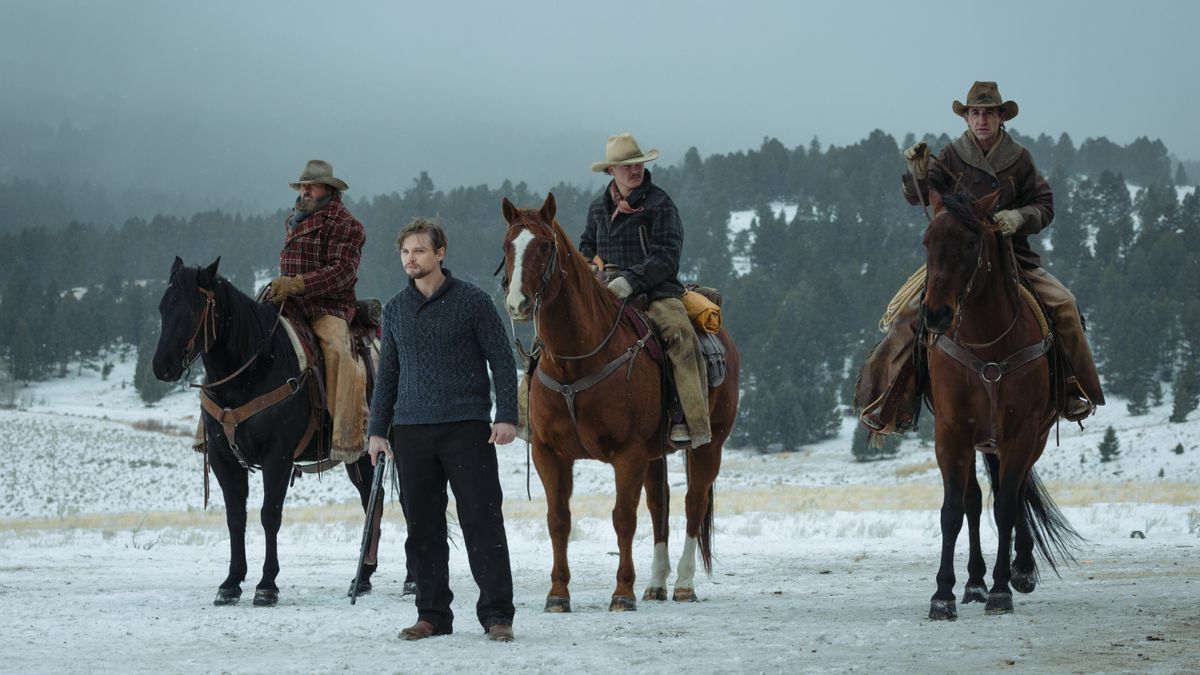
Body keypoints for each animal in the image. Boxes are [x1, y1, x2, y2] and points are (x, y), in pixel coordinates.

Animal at [151, 255, 388, 605]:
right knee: (372, 498)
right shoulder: (223, 459)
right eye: (163, 306)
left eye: (194, 309)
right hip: (358, 457)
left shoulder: (278, 456)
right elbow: (236, 517)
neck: (252, 370)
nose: (162, 366)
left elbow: (269, 514)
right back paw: (364, 578)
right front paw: (231, 582)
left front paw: (267, 585)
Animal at [499, 190, 739, 610]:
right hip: (657, 454)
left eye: (544, 245)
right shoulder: (549, 452)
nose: (518, 303)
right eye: (506, 246)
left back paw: (683, 584)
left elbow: (623, 517)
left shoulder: (628, 452)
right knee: (661, 505)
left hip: (710, 445)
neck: (575, 361)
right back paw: (656, 584)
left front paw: (623, 591)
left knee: (692, 504)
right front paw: (558, 593)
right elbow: (558, 518)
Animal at [921, 192, 1084, 619]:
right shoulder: (951, 434)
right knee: (976, 502)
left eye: (970, 243)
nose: (937, 313)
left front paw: (1001, 589)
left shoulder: (1021, 432)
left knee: (1017, 492)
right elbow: (953, 511)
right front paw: (943, 594)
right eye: (927, 241)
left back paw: (1019, 570)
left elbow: (1008, 506)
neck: (987, 341)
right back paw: (974, 581)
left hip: (1029, 439)